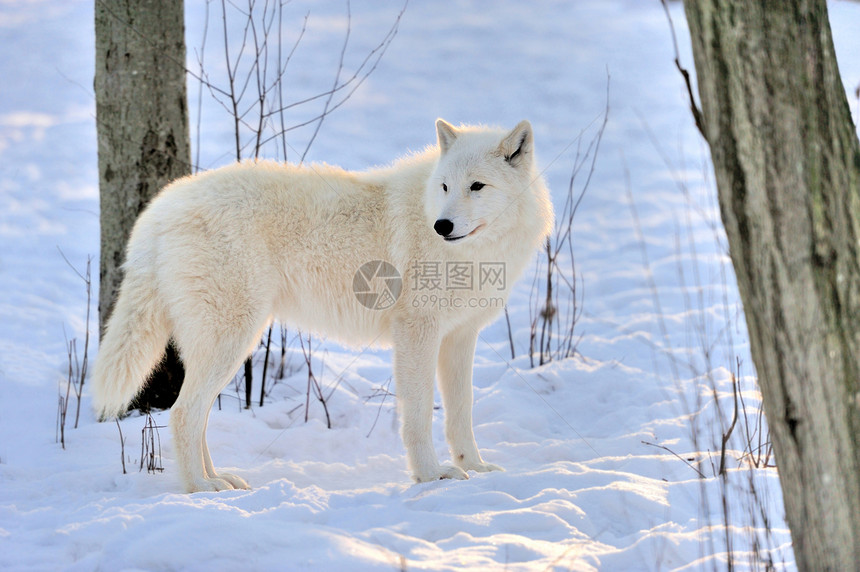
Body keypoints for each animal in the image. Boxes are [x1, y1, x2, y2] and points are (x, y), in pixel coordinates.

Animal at [90, 119, 556, 492]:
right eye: (444, 187)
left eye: (477, 186)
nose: (442, 225)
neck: (470, 253)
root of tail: (161, 208)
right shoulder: (416, 334)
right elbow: (420, 413)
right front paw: (431, 476)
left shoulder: (459, 337)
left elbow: (461, 413)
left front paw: (475, 467)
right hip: (234, 338)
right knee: (183, 413)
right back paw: (201, 489)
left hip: (222, 344)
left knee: (196, 416)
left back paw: (218, 478)